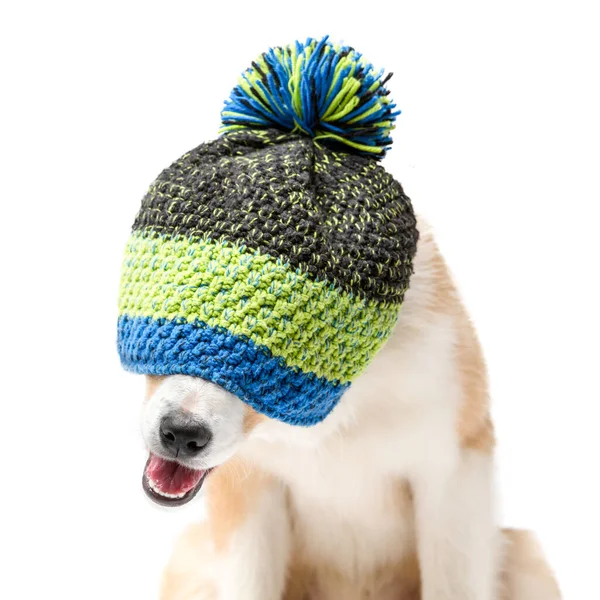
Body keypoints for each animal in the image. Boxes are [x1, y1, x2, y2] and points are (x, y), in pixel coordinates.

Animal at [138, 220, 560, 600]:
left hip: (526, 562)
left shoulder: (452, 470)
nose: (181, 435)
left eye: (259, 354)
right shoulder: (250, 491)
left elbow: (454, 584)